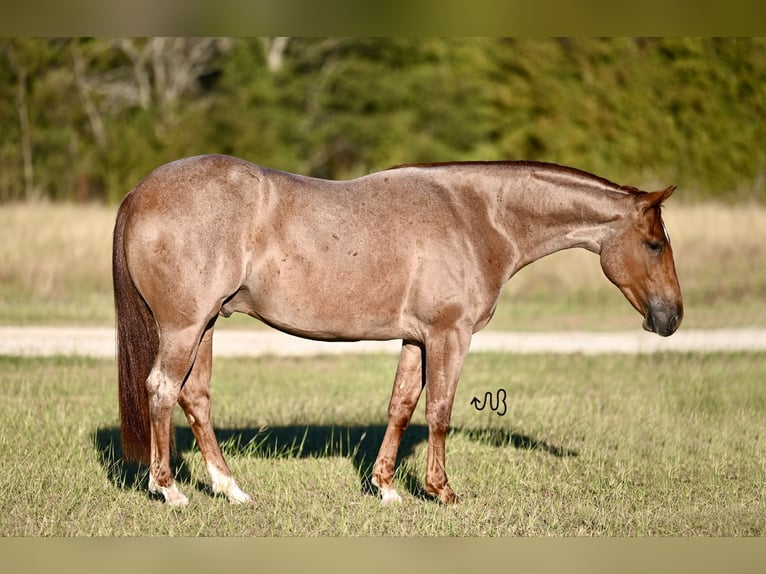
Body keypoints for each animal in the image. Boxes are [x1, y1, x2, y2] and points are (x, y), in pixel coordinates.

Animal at [112, 155, 684, 506]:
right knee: (161, 390)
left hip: (207, 324)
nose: (672, 317)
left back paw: (230, 489)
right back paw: (170, 491)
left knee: (195, 398)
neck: (477, 218)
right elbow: (440, 413)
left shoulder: (417, 338)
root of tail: (140, 191)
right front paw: (441, 491)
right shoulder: (450, 335)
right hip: (185, 327)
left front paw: (386, 487)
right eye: (654, 243)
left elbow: (402, 406)